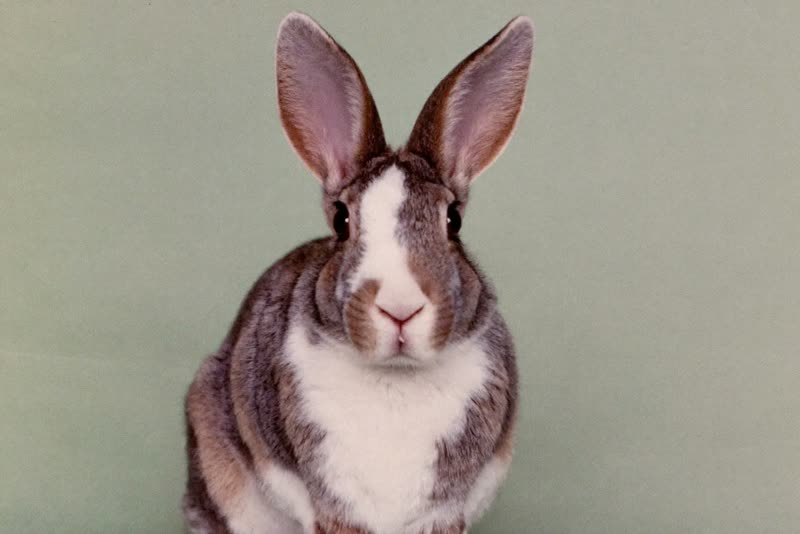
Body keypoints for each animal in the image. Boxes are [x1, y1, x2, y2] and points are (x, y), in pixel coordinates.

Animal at [182, 11, 534, 534]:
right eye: (342, 221)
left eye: (453, 221)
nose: (400, 308)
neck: (395, 379)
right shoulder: (333, 506)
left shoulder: (444, 512)